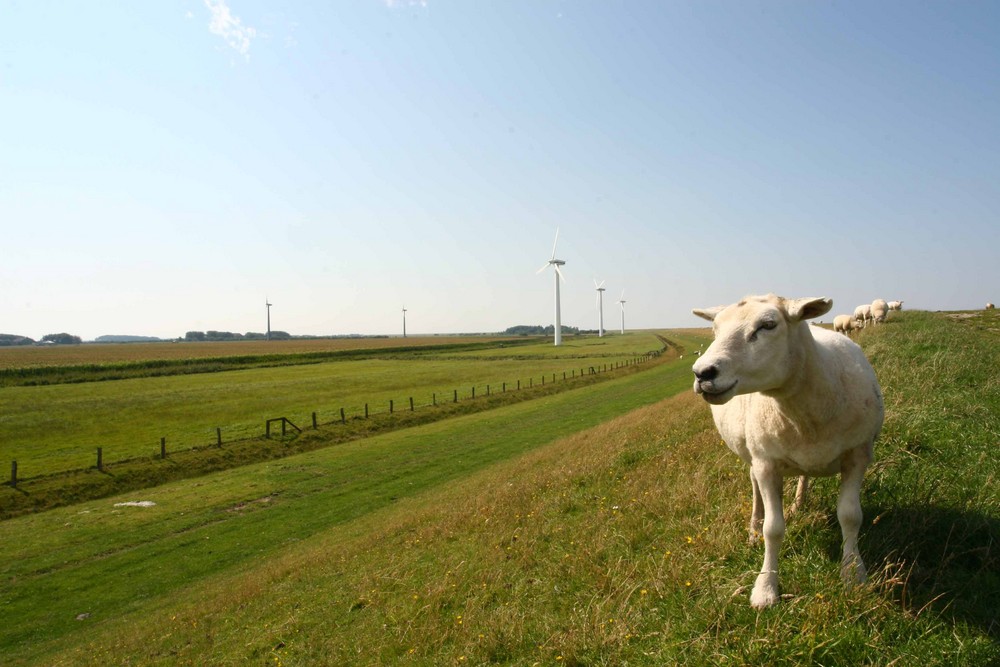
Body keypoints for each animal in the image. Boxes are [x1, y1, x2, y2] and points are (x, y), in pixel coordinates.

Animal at [692, 294, 888, 608]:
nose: (702, 373)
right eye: (715, 329)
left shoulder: (858, 454)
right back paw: (753, 528)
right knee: (755, 488)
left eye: (768, 325)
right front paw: (765, 588)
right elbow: (773, 529)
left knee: (804, 476)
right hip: (753, 454)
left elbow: (850, 516)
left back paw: (798, 501)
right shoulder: (766, 464)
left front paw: (853, 573)